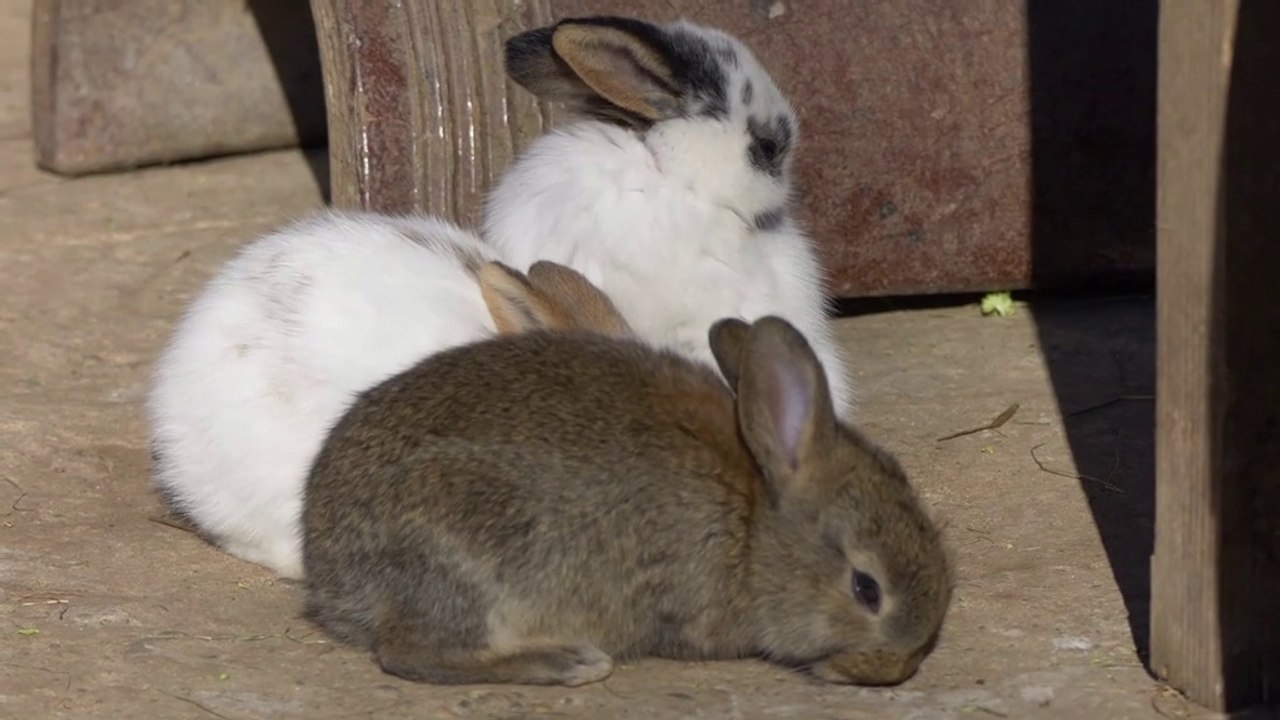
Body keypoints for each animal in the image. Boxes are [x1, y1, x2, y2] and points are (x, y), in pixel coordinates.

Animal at [302, 315, 951, 687]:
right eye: (866, 589)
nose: (898, 669)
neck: (752, 525)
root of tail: (327, 571)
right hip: (468, 556)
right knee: (407, 652)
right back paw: (567, 663)